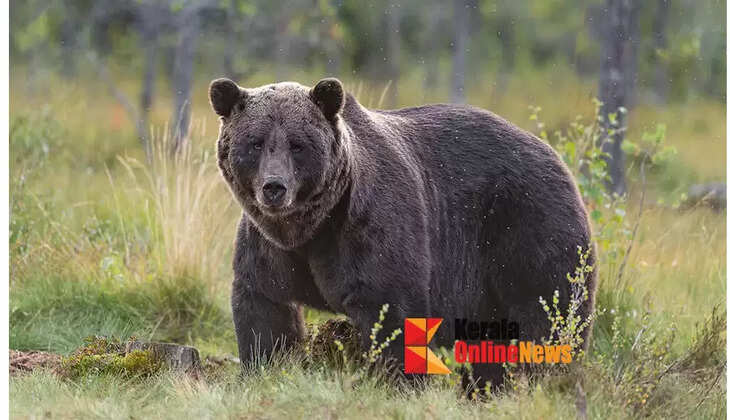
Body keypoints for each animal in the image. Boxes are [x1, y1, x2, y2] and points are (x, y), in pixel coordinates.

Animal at [208, 77, 596, 390]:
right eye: (256, 142)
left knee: (548, 314)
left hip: (526, 225)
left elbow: (391, 309)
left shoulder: (369, 227)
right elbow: (266, 311)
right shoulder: (269, 247)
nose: (274, 187)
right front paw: (264, 371)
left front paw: (397, 382)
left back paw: (548, 380)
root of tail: (555, 154)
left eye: (297, 144)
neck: (311, 227)